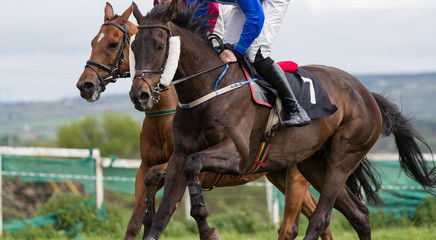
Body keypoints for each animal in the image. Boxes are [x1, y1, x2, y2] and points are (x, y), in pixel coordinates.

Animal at [75, 2, 352, 240]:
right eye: (92, 42)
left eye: (113, 44)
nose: (85, 85)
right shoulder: (143, 168)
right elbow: (136, 215)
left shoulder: (202, 165)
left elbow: (163, 180)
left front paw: (206, 229)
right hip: (280, 172)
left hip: (296, 178)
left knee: (295, 224)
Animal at [130, 1, 436, 240]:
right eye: (133, 46)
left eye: (160, 46)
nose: (139, 95)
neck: (208, 89)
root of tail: (366, 94)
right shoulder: (179, 156)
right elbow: (164, 209)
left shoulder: (237, 155)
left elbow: (195, 166)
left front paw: (206, 227)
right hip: (313, 163)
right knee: (359, 214)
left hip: (343, 156)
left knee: (320, 218)